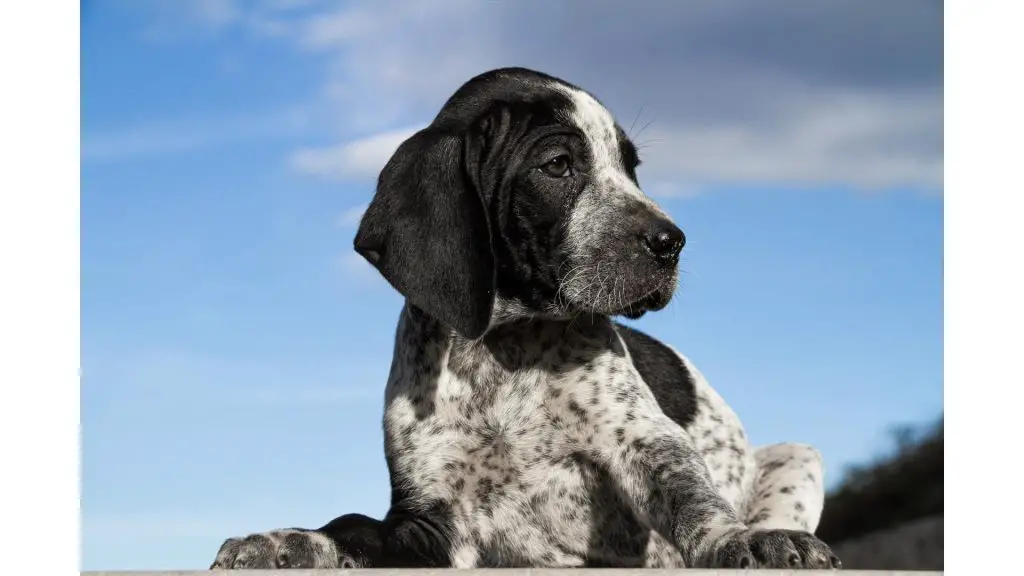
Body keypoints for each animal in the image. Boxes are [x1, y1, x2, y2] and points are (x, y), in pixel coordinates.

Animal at [209, 66, 839, 565]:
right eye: (557, 165)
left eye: (630, 168)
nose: (671, 242)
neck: (505, 347)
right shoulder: (431, 520)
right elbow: (352, 528)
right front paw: (286, 542)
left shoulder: (643, 444)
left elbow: (693, 501)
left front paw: (738, 541)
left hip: (795, 456)